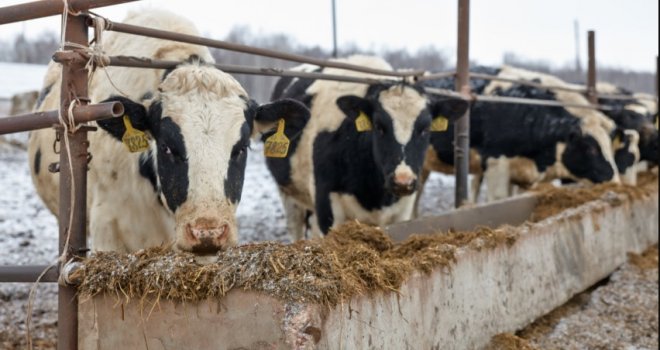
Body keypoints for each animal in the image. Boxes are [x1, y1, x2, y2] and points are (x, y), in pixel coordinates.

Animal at [266, 56, 466, 239]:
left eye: (425, 128)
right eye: (379, 126)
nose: (403, 181)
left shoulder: (403, 209)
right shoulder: (326, 207)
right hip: (289, 192)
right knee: (296, 229)